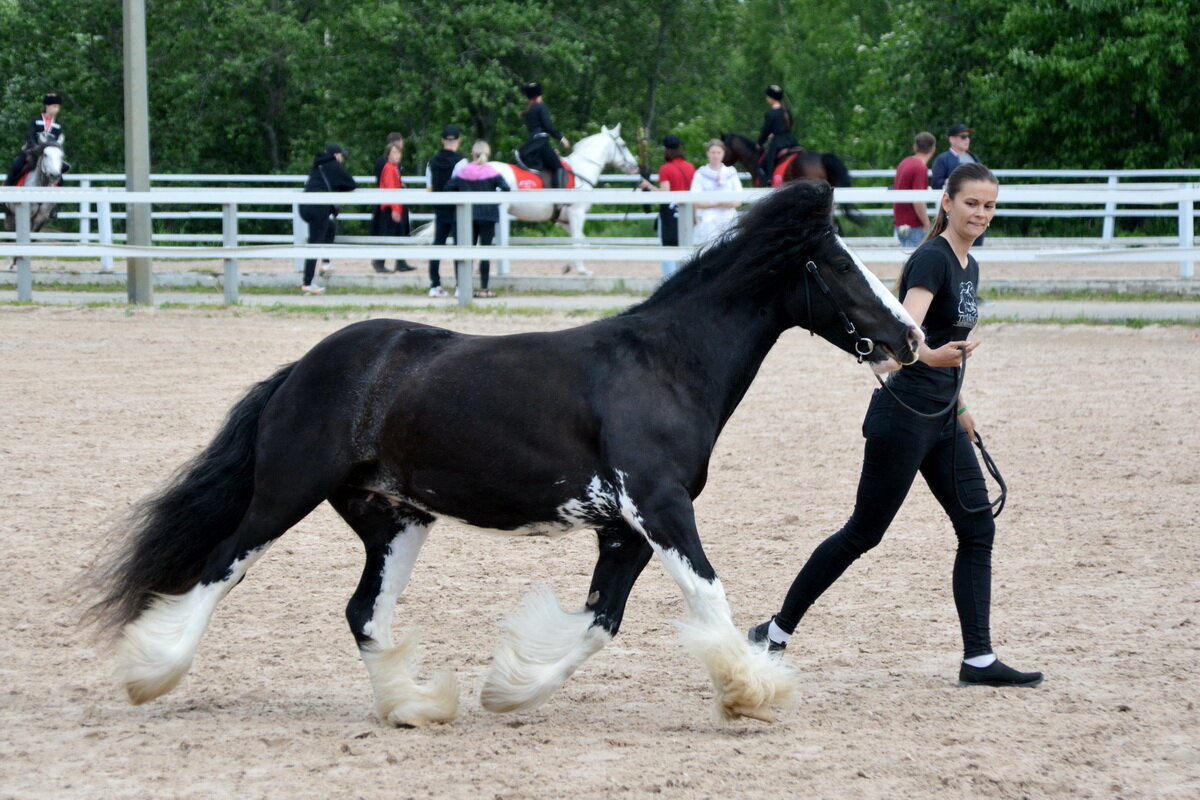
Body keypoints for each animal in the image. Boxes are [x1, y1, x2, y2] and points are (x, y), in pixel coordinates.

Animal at [91, 179, 916, 724]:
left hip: (394, 519)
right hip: (284, 494)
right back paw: (150, 676)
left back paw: (414, 705)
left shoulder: (624, 530)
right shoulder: (659, 508)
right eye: (839, 266)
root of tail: (303, 367)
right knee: (220, 566)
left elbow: (599, 622)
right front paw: (753, 691)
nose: (908, 336)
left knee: (363, 610)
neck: (662, 366)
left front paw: (508, 689)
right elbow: (707, 596)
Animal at [489, 123, 643, 275]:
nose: (635, 166)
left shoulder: (564, 219)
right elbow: (577, 242)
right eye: (623, 145)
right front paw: (582, 270)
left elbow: (583, 241)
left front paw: (569, 267)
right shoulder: (577, 213)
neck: (582, 169)